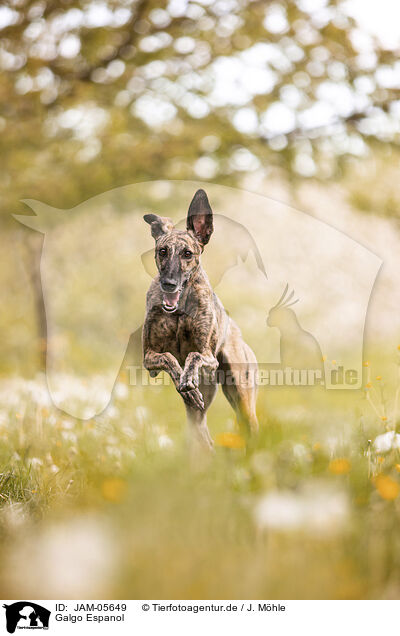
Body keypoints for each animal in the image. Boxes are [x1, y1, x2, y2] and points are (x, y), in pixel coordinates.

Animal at [142, 186, 258, 450]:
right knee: (204, 437)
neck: (179, 311)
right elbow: (168, 359)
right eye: (162, 251)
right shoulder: (149, 357)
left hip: (242, 395)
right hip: (197, 418)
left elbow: (193, 355)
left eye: (187, 253)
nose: (169, 284)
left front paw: (187, 378)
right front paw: (184, 382)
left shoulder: (208, 356)